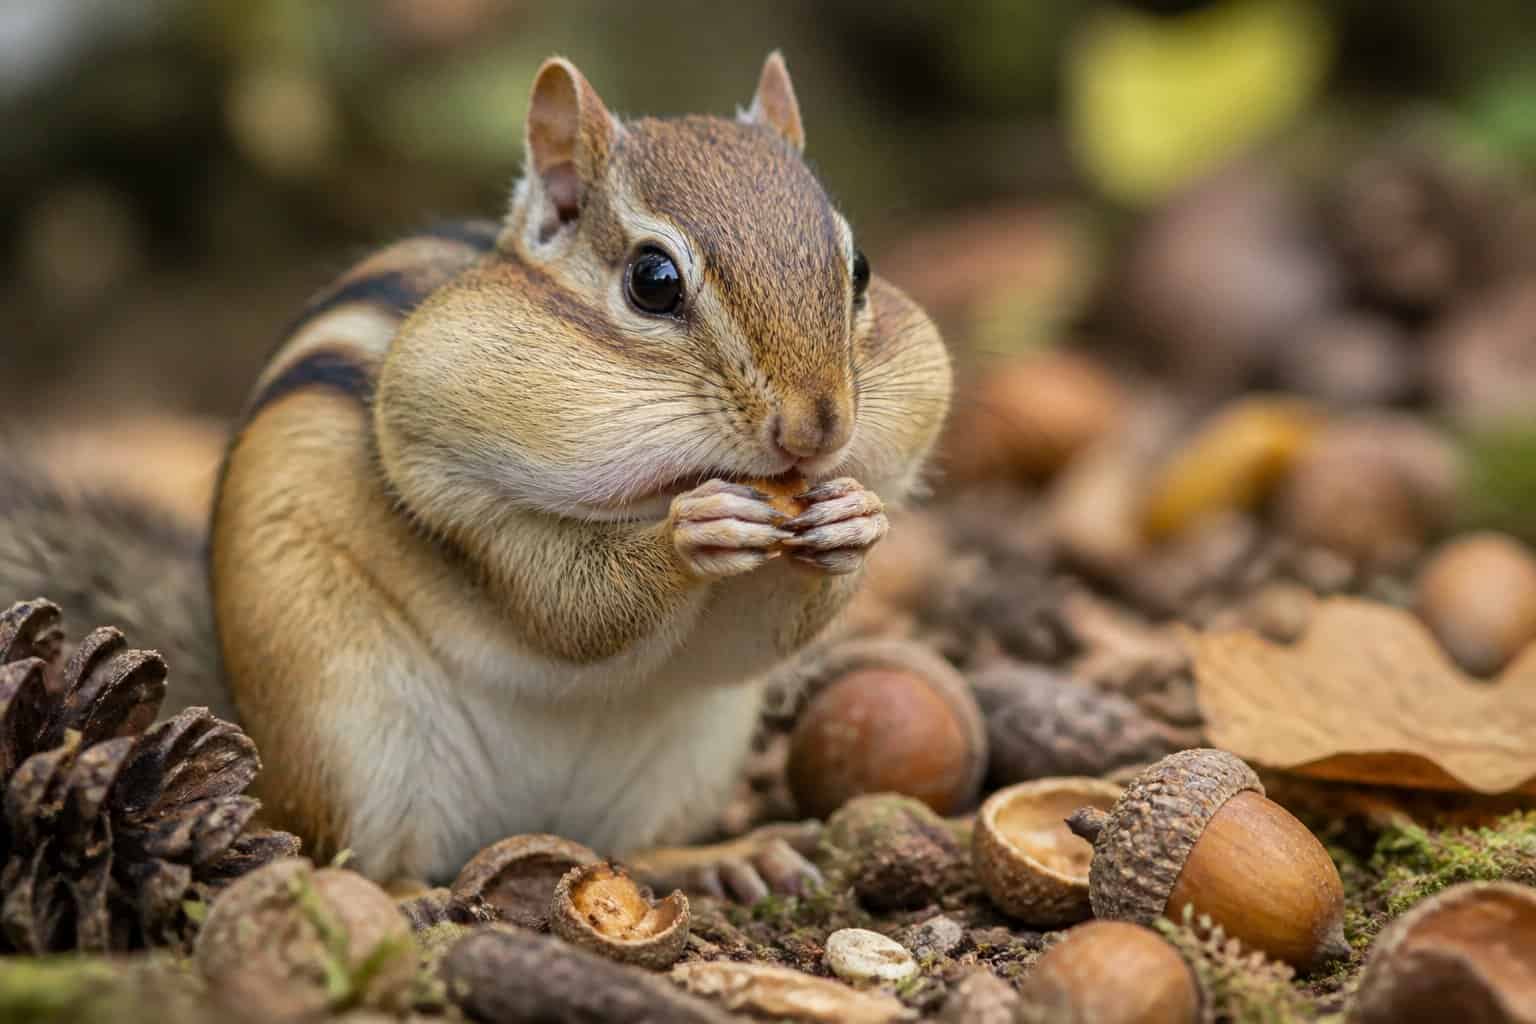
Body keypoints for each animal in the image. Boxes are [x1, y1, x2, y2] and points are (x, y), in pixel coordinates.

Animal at [2, 53, 952, 889]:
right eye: (653, 281)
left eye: (861, 270)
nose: (816, 428)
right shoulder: (453, 486)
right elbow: (566, 607)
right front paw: (693, 533)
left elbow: (758, 635)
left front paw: (856, 521)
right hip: (347, 728)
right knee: (356, 863)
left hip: (690, 755)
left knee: (635, 851)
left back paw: (723, 858)